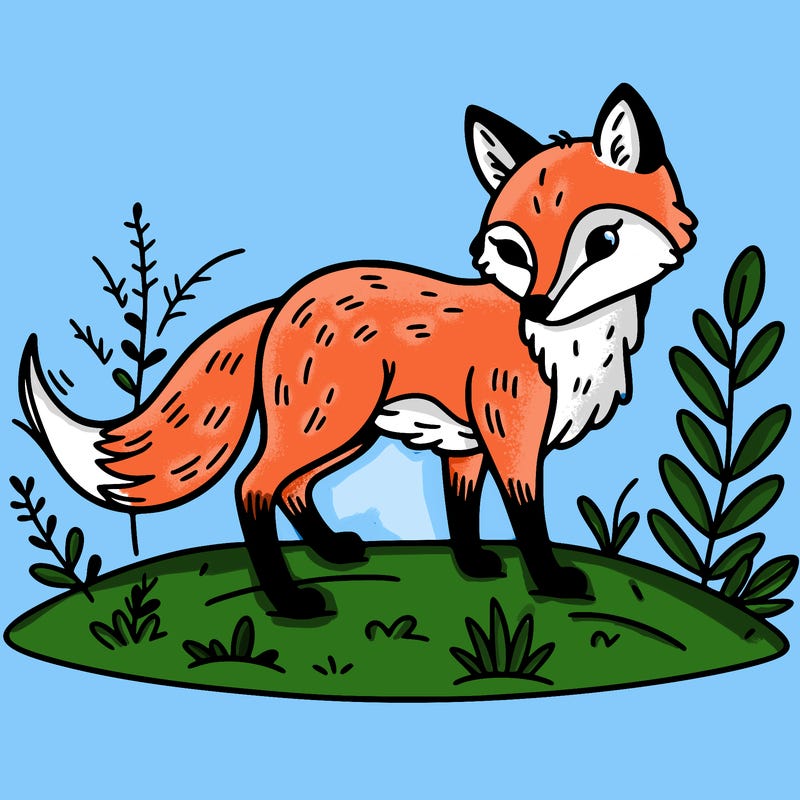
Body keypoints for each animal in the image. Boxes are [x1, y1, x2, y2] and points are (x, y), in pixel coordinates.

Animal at [19, 84, 696, 618]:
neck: (574, 349)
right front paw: (552, 582)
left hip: (347, 430)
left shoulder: (465, 447)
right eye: (514, 251)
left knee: (292, 490)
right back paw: (290, 601)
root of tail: (283, 301)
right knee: (253, 489)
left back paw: (332, 550)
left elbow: (461, 514)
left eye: (602, 241)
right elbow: (529, 521)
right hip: (329, 421)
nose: (536, 307)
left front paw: (475, 567)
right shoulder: (512, 437)